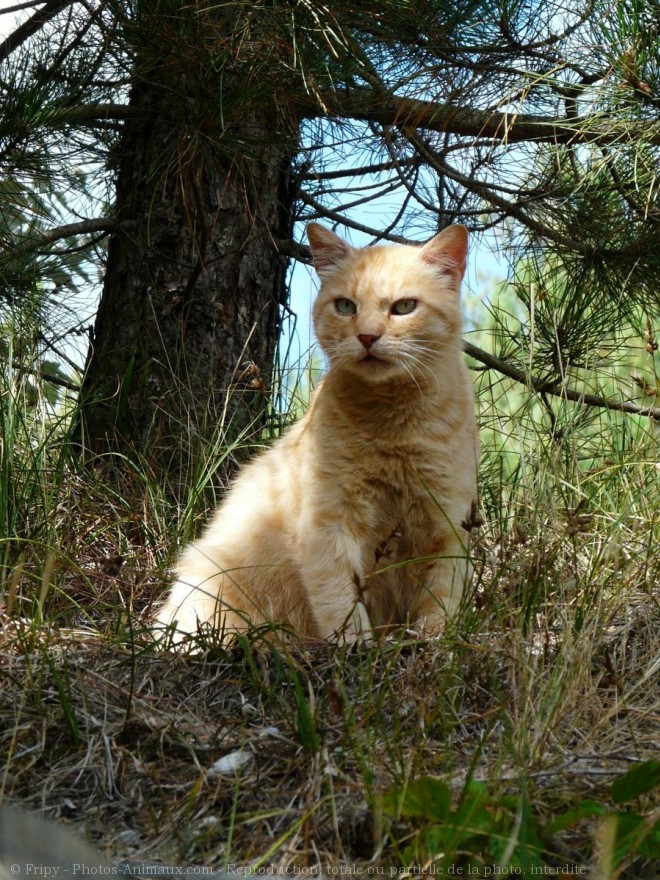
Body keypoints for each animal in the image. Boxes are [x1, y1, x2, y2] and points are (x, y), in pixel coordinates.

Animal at [158, 223, 482, 644]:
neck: (393, 425)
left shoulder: (447, 526)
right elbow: (340, 603)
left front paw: (431, 641)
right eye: (345, 306)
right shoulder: (329, 525)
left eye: (404, 307)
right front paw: (354, 646)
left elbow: (440, 603)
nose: (367, 336)